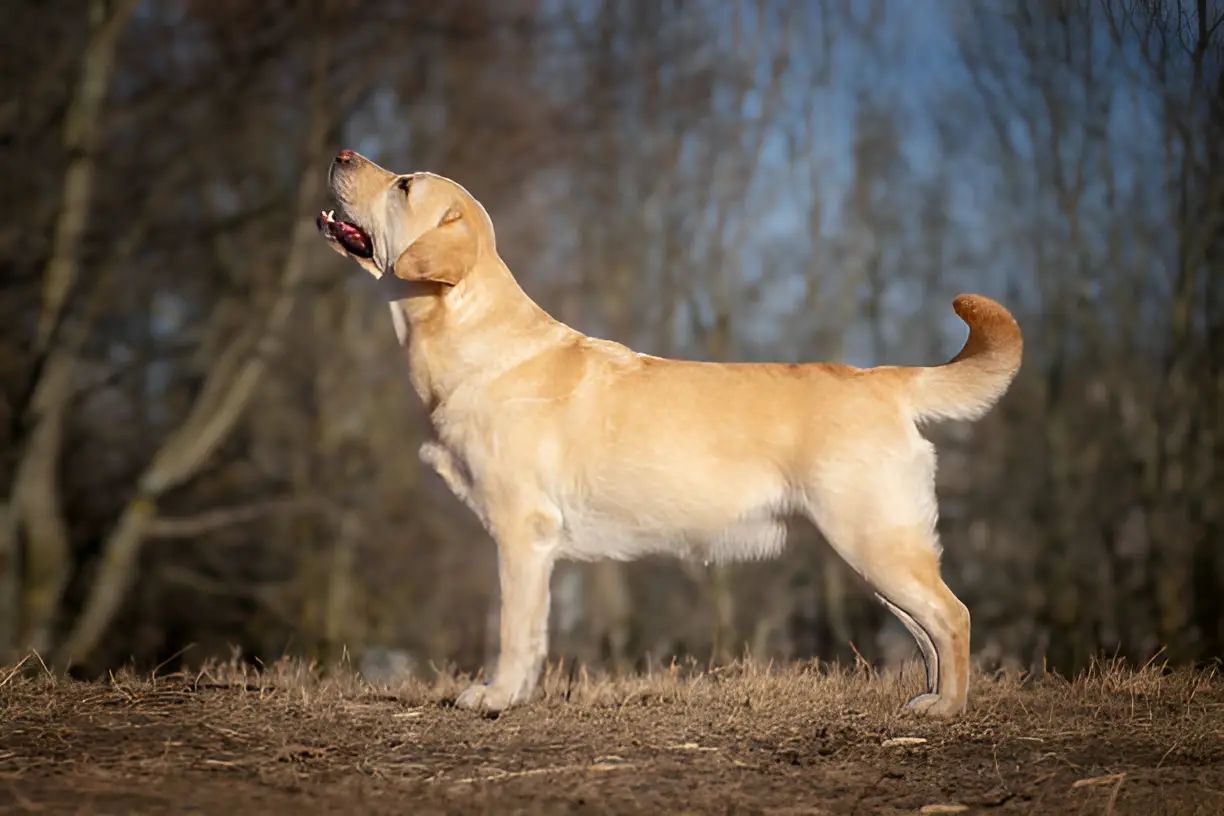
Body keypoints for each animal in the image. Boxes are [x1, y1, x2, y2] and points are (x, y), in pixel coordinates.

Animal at [318, 149, 1023, 719]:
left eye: (404, 185)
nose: (344, 151)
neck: (470, 337)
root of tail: (885, 379)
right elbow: (537, 631)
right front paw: (515, 696)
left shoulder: (522, 531)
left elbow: (514, 630)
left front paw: (494, 697)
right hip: (873, 551)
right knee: (927, 629)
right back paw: (927, 699)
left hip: (873, 539)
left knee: (953, 616)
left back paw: (949, 710)